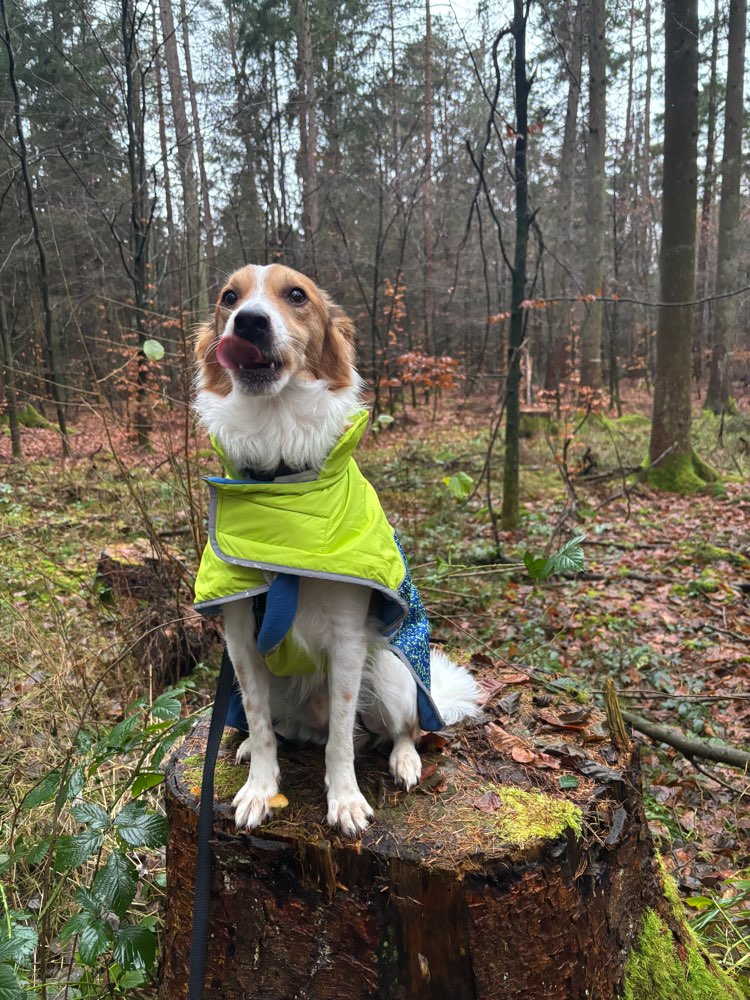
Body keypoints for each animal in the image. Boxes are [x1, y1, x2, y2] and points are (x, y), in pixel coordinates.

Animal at [194, 264, 482, 836]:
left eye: (296, 295)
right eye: (229, 298)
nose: (249, 321)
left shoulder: (349, 644)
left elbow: (344, 741)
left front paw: (345, 799)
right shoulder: (240, 642)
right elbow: (260, 722)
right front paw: (260, 787)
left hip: (391, 669)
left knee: (403, 729)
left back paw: (404, 759)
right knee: (286, 728)